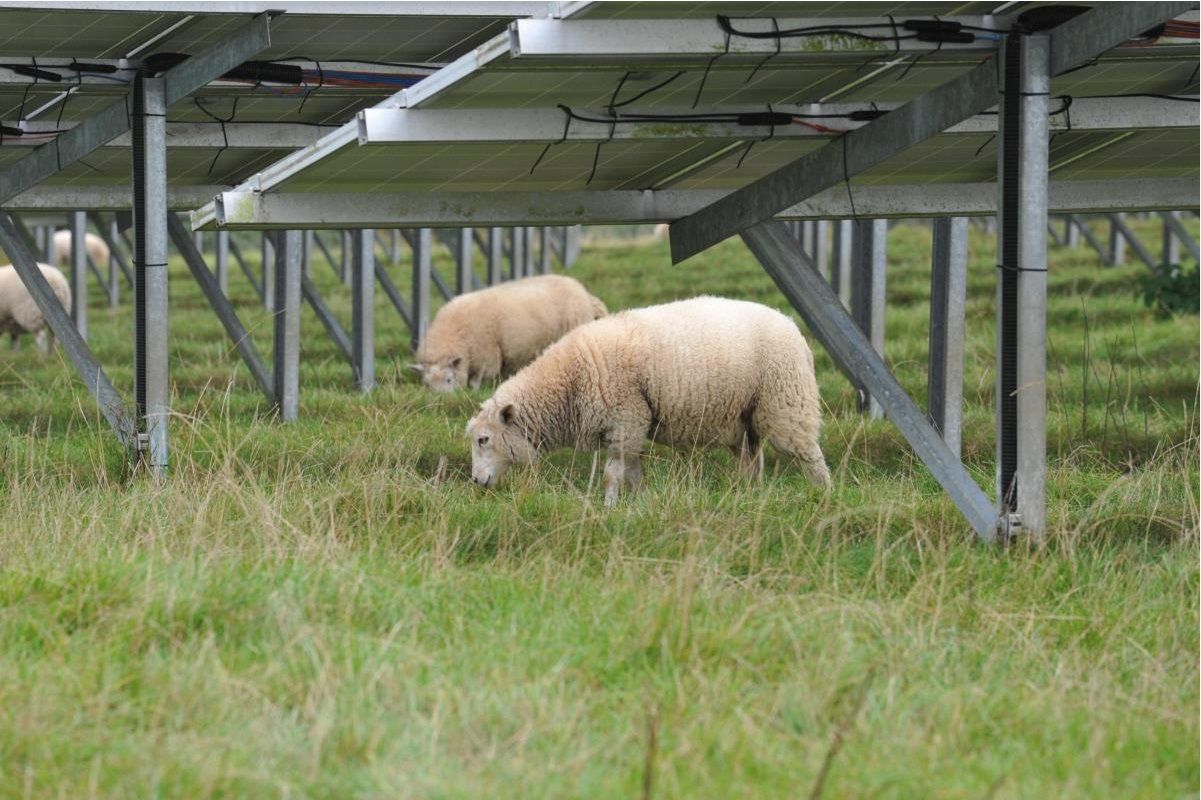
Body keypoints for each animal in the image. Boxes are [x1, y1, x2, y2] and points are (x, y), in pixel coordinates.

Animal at [412, 274, 607, 392]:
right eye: (427, 385)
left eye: (449, 379)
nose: (441, 401)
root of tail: (585, 294)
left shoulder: (487, 357)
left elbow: (477, 381)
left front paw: (474, 391)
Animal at [466, 296, 831, 505]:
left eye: (484, 439)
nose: (476, 482)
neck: (569, 380)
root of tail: (792, 327)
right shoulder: (628, 426)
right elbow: (633, 472)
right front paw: (640, 504)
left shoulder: (625, 419)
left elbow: (613, 474)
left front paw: (609, 508)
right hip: (744, 418)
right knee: (752, 462)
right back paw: (748, 496)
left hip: (786, 401)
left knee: (809, 455)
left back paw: (824, 494)